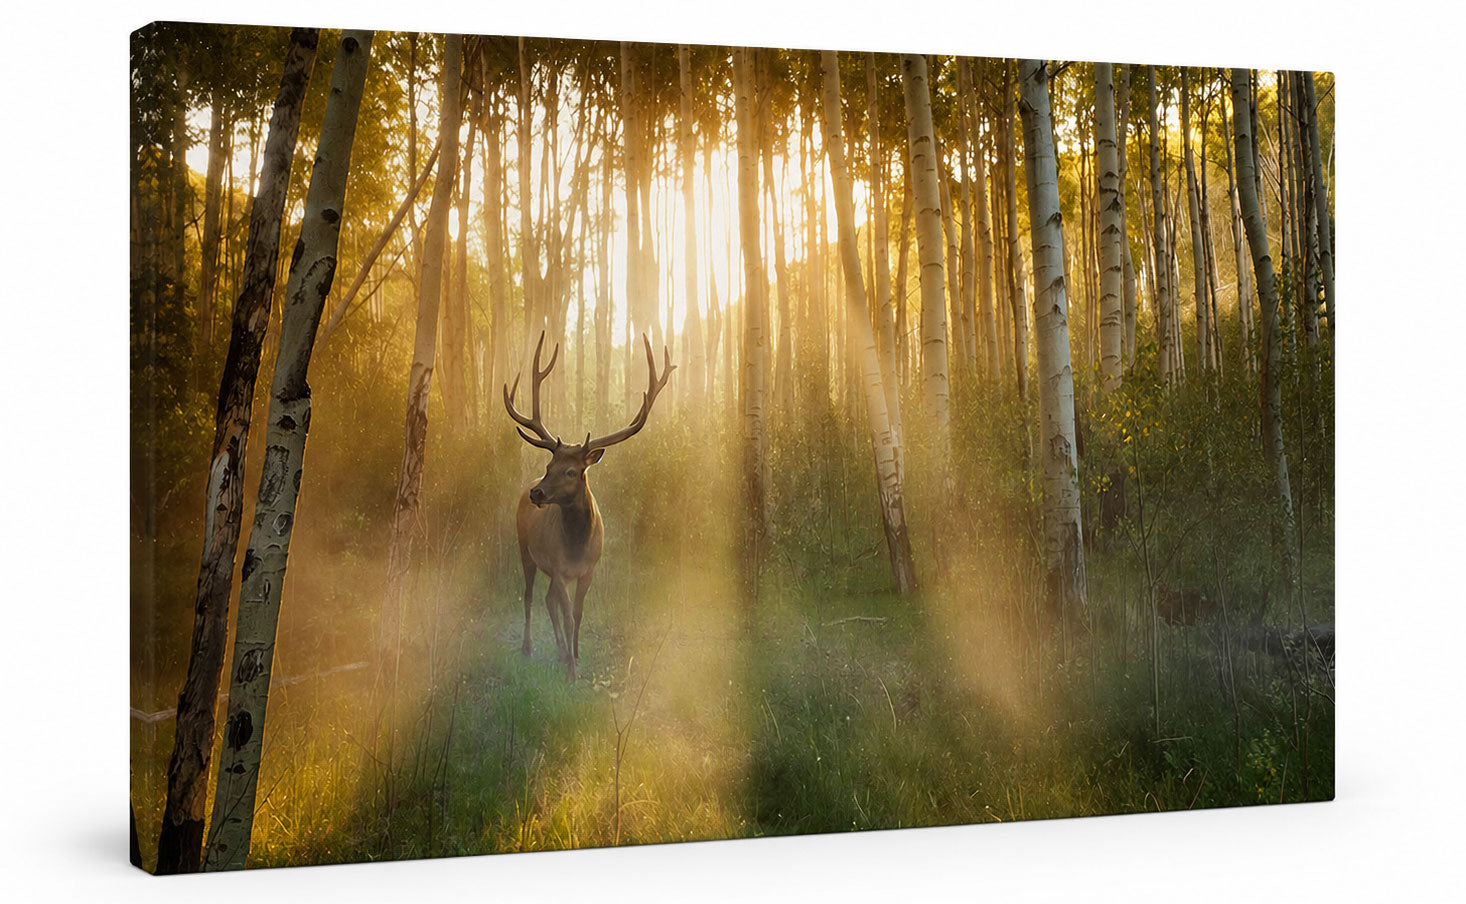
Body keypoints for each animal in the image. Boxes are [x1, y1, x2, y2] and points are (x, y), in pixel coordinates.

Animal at [503, 331, 674, 681]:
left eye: (571, 471)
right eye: (549, 465)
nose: (536, 493)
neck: (577, 547)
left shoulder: (588, 570)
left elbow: (579, 614)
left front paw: (575, 657)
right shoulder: (558, 567)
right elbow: (569, 615)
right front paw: (571, 670)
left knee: (547, 600)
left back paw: (559, 650)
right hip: (525, 549)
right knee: (530, 596)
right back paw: (529, 648)